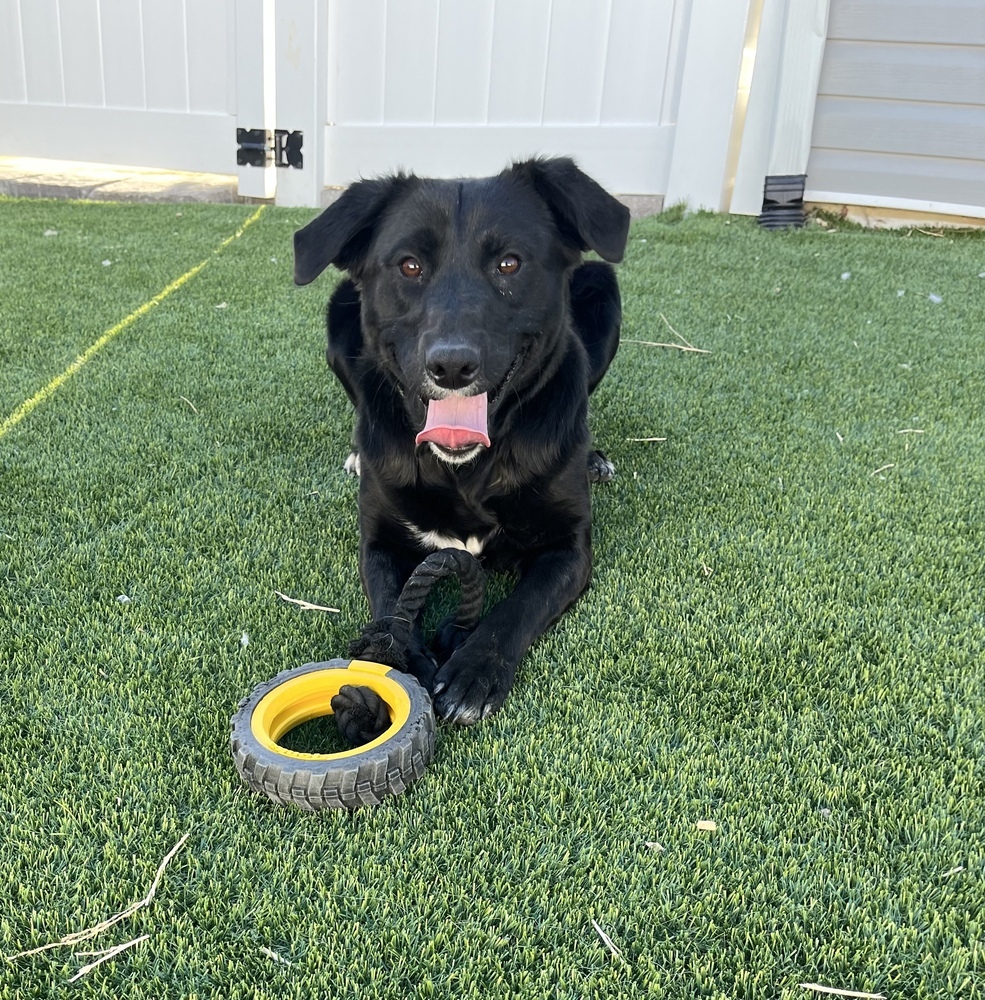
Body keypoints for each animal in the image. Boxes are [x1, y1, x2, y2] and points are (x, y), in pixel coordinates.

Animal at [294, 160, 632, 732]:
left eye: (509, 263)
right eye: (409, 266)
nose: (451, 366)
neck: (465, 470)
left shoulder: (569, 548)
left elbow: (517, 607)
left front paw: (475, 668)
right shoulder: (379, 542)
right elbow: (391, 605)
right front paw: (399, 661)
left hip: (602, 285)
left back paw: (593, 458)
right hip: (339, 312)